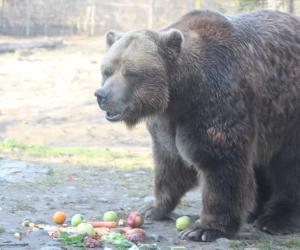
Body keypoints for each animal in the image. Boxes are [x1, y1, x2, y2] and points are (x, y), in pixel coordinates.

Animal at [95, 10, 300, 242]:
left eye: (130, 72)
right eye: (107, 70)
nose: (102, 95)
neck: (179, 95)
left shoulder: (215, 105)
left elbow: (219, 165)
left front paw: (204, 229)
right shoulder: (167, 124)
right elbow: (170, 163)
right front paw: (153, 208)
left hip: (287, 117)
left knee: (289, 168)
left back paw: (276, 219)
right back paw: (253, 212)